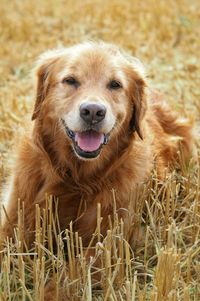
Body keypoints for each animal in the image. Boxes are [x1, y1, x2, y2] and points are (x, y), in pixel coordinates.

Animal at [0, 41, 194, 296]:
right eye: (70, 80)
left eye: (115, 84)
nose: (92, 111)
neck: (75, 178)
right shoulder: (16, 219)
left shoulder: (111, 241)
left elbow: (68, 279)